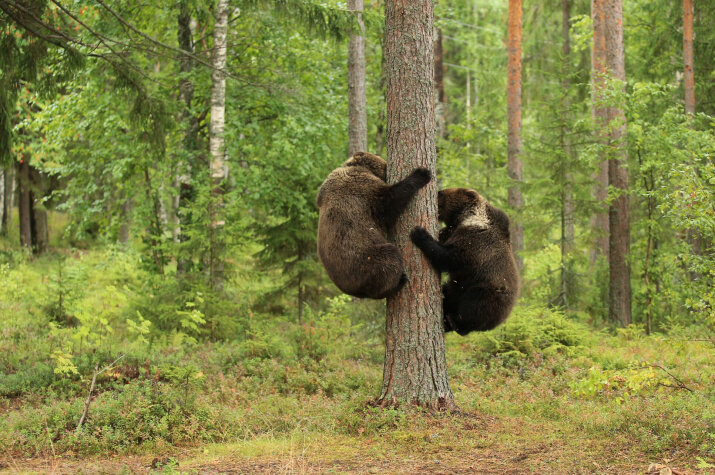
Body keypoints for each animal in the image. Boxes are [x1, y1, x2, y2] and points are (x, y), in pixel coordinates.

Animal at [318, 152, 430, 300]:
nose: (387, 167)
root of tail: (352, 289)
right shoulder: (363, 190)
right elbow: (389, 202)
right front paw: (422, 174)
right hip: (366, 260)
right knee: (389, 260)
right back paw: (398, 282)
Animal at [408, 187, 520, 334]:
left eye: (441, 193)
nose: (437, 192)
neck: (467, 216)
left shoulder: (476, 242)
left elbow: (449, 257)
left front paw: (419, 233)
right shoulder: (453, 230)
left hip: (487, 291)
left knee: (473, 306)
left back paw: (455, 321)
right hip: (456, 288)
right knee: (448, 293)